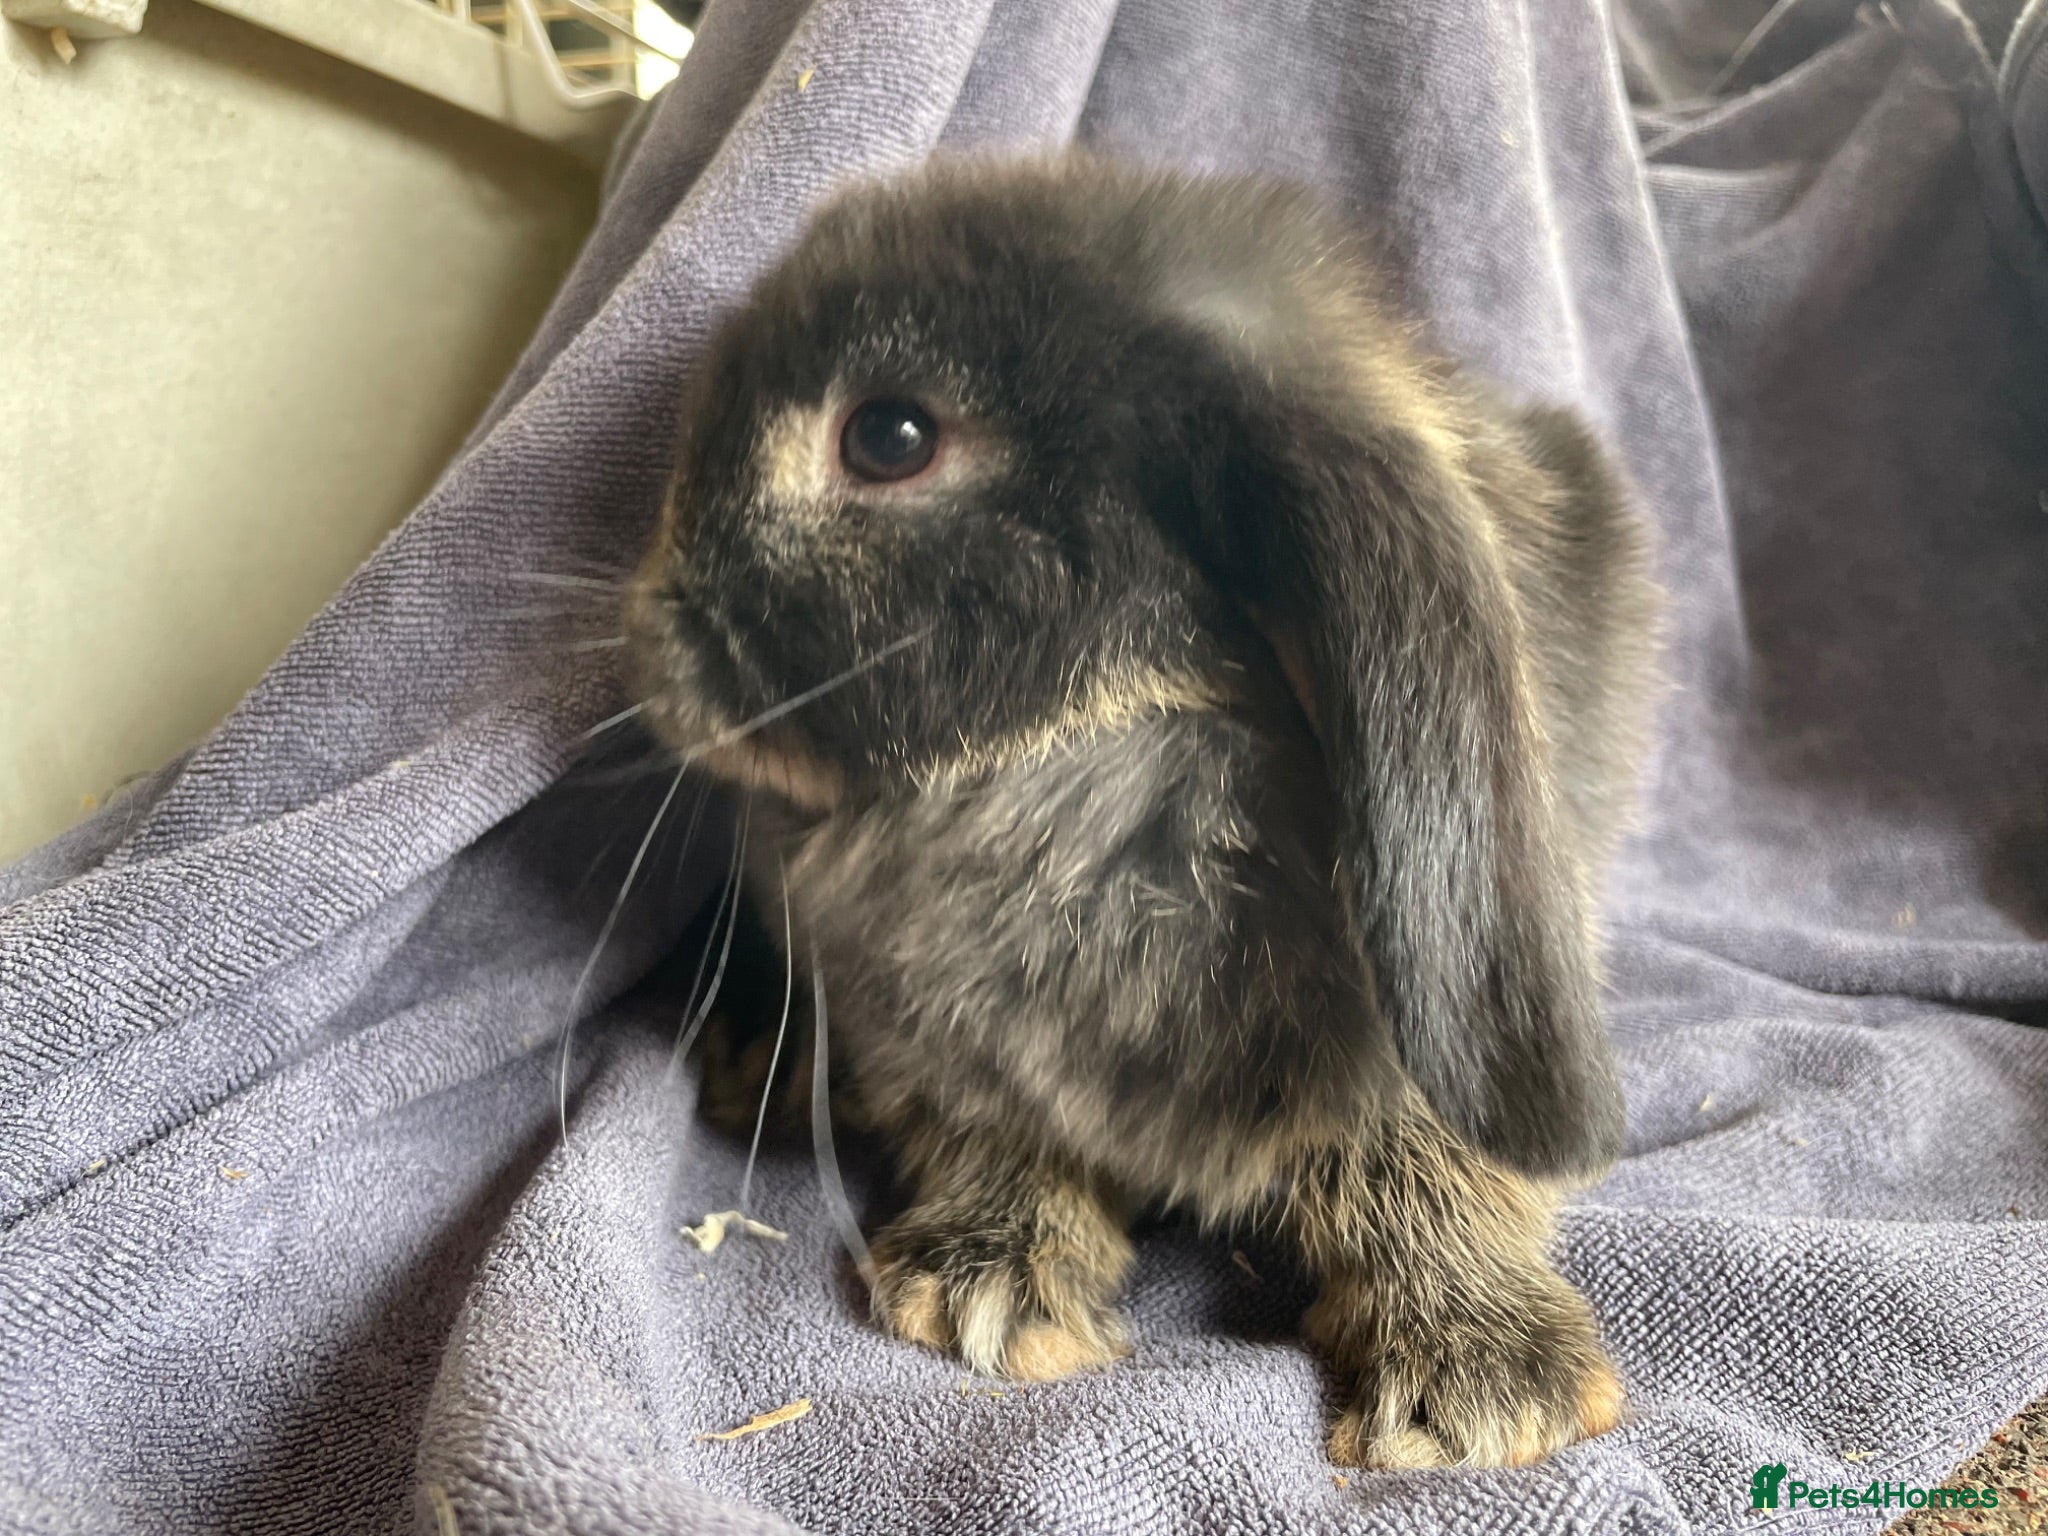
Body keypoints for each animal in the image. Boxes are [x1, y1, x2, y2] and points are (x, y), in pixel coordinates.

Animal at [623, 154, 1659, 1470]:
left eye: (888, 435)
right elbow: (992, 1142)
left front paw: (1485, 1385)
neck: (1091, 782)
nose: (647, 634)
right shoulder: (949, 1058)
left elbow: (1431, 1175)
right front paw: (983, 1287)